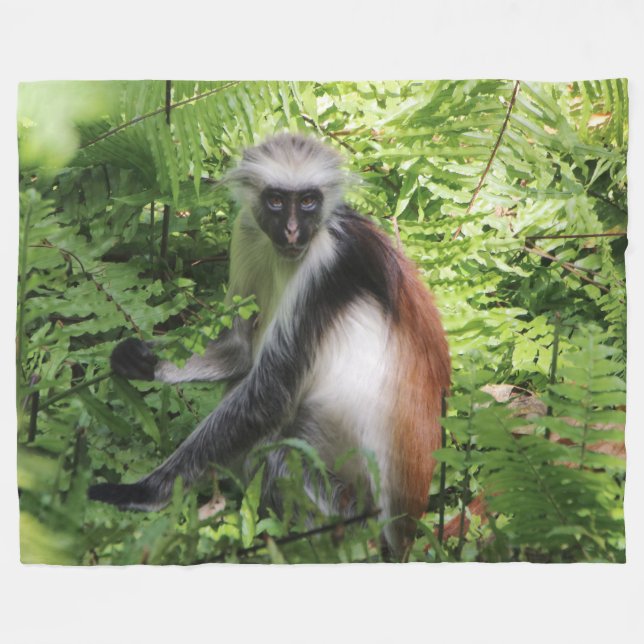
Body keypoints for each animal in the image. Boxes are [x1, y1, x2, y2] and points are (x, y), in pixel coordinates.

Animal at [89, 133, 451, 558]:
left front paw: (144, 492)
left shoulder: (325, 268)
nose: (293, 231)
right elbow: (240, 348)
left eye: (308, 201)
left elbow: (269, 398)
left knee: (281, 456)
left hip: (351, 515)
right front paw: (146, 362)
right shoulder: (248, 229)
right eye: (277, 200)